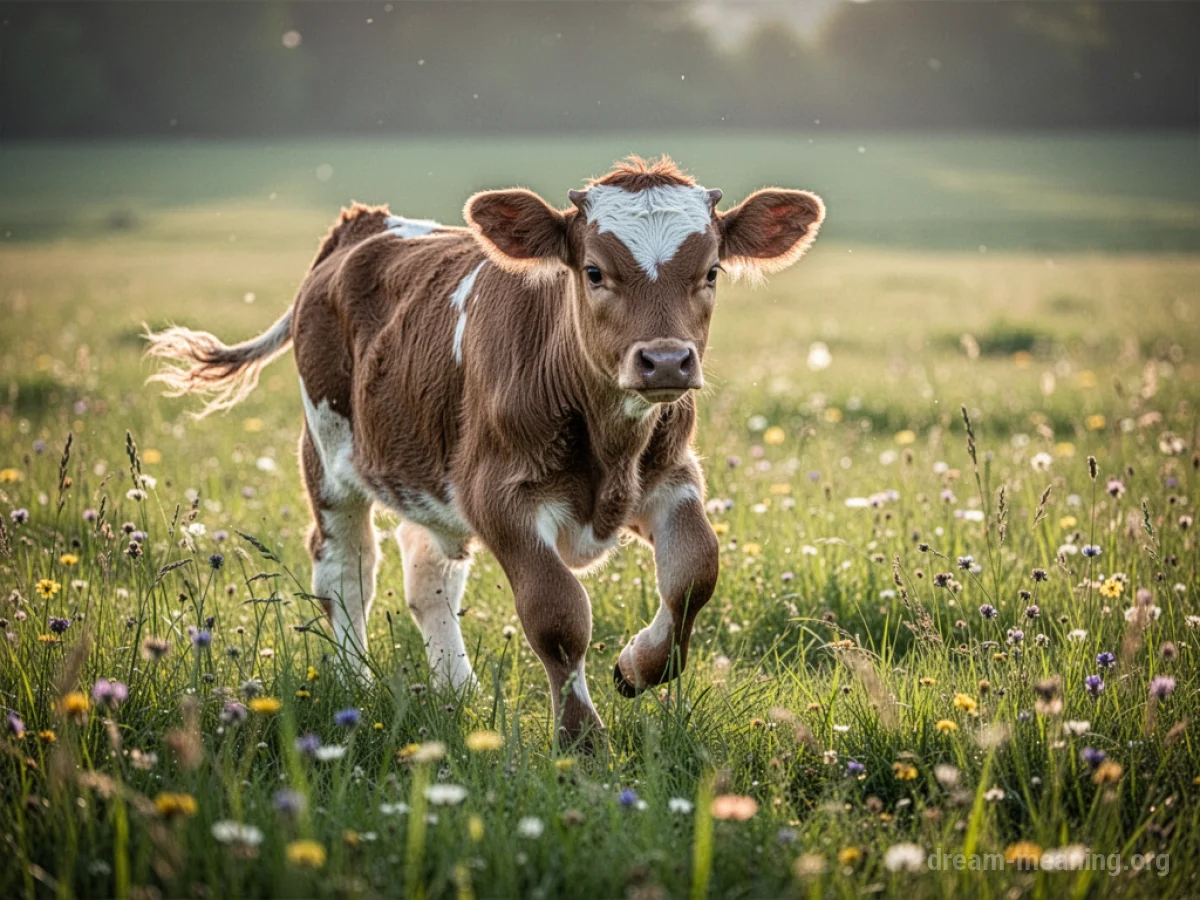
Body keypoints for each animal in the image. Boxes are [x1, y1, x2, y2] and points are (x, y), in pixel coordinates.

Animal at [145, 156, 824, 743]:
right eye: (594, 271)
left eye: (710, 271)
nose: (664, 361)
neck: (610, 449)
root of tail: (365, 225)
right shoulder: (498, 496)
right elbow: (558, 615)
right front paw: (582, 742)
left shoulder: (672, 479)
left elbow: (693, 575)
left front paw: (637, 666)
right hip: (330, 450)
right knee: (346, 567)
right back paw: (351, 682)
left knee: (428, 574)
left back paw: (457, 691)